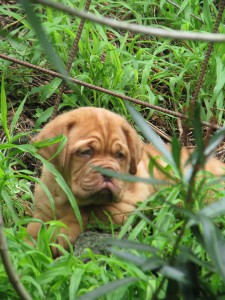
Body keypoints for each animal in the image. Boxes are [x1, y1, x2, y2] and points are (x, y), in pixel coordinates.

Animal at [26, 106, 225, 254]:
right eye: (86, 152)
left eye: (120, 155)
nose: (108, 172)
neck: (66, 195)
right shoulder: (43, 209)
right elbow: (34, 228)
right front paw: (28, 244)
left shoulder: (126, 207)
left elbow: (87, 211)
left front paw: (62, 230)